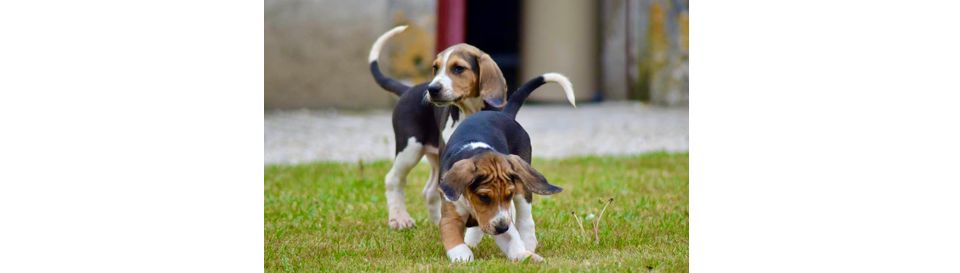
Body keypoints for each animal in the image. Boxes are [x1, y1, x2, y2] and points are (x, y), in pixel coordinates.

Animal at [370, 26, 512, 230]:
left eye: (458, 68)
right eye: (435, 68)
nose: (432, 89)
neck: (468, 111)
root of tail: (408, 90)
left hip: (434, 156)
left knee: (430, 191)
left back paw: (437, 221)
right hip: (410, 149)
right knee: (393, 179)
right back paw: (399, 219)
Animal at [436, 73, 576, 262]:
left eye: (508, 195)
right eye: (483, 197)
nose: (502, 228)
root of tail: (505, 114)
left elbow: (512, 240)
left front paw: (525, 256)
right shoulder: (450, 216)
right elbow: (455, 241)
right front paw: (463, 256)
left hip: (523, 183)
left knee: (525, 216)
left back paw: (528, 242)